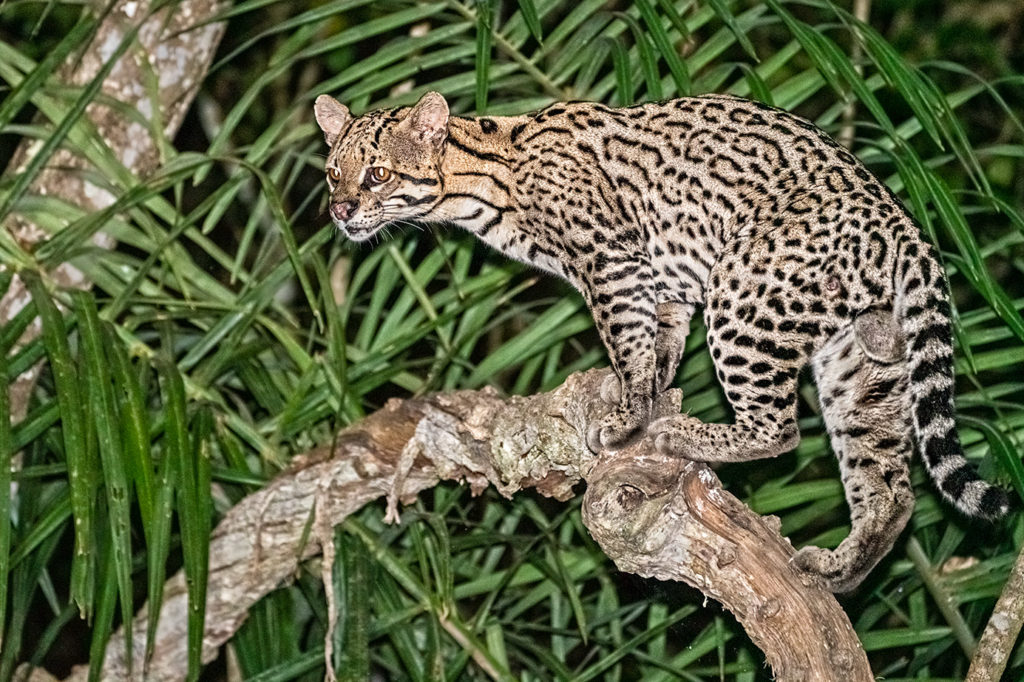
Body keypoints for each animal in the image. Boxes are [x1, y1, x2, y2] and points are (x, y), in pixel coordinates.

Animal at [311, 91, 1007, 589]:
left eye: (377, 175)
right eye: (332, 172)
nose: (339, 211)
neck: (485, 178)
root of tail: (903, 224)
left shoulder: (610, 260)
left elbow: (628, 344)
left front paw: (630, 416)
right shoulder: (660, 278)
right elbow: (659, 340)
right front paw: (649, 390)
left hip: (744, 296)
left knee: (781, 429)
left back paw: (688, 436)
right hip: (860, 359)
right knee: (891, 488)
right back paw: (844, 566)